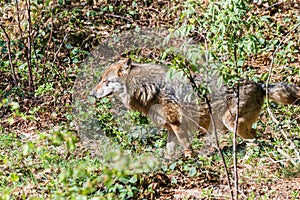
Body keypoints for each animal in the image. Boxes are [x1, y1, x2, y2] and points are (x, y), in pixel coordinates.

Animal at [89, 57, 300, 158]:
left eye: (105, 81)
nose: (92, 93)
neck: (147, 88)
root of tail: (259, 85)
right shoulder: (170, 128)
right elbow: (169, 150)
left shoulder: (177, 124)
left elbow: (186, 146)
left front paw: (191, 159)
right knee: (257, 136)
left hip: (230, 122)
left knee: (256, 138)